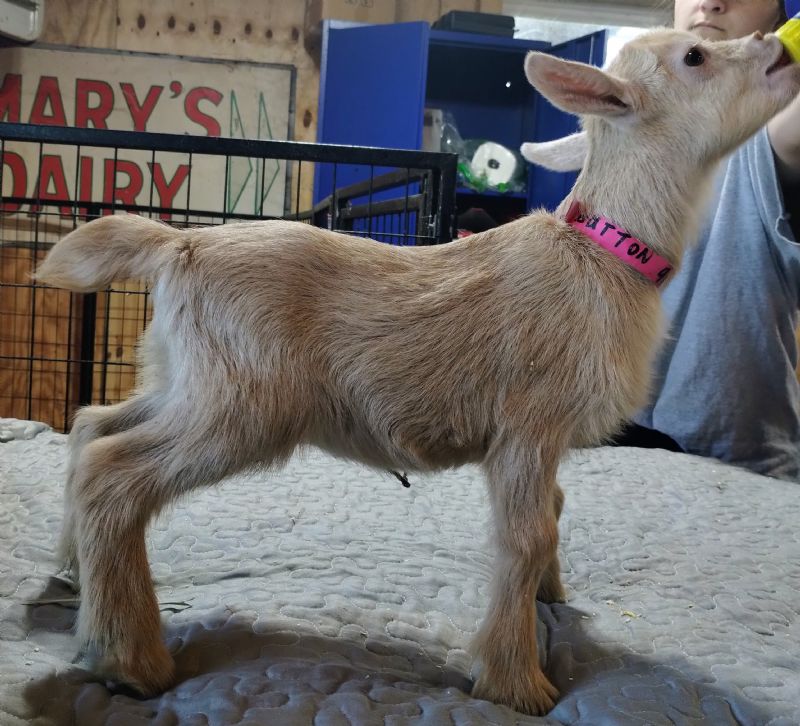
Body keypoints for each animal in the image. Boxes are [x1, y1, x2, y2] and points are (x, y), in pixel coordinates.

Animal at [35, 29, 800, 715]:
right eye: (695, 55)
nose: (778, 48)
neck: (602, 253)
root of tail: (178, 244)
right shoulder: (528, 423)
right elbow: (526, 535)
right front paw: (517, 681)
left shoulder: (544, 441)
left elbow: (554, 510)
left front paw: (552, 597)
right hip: (243, 404)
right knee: (112, 472)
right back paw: (130, 656)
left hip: (184, 381)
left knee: (93, 424)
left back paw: (72, 575)